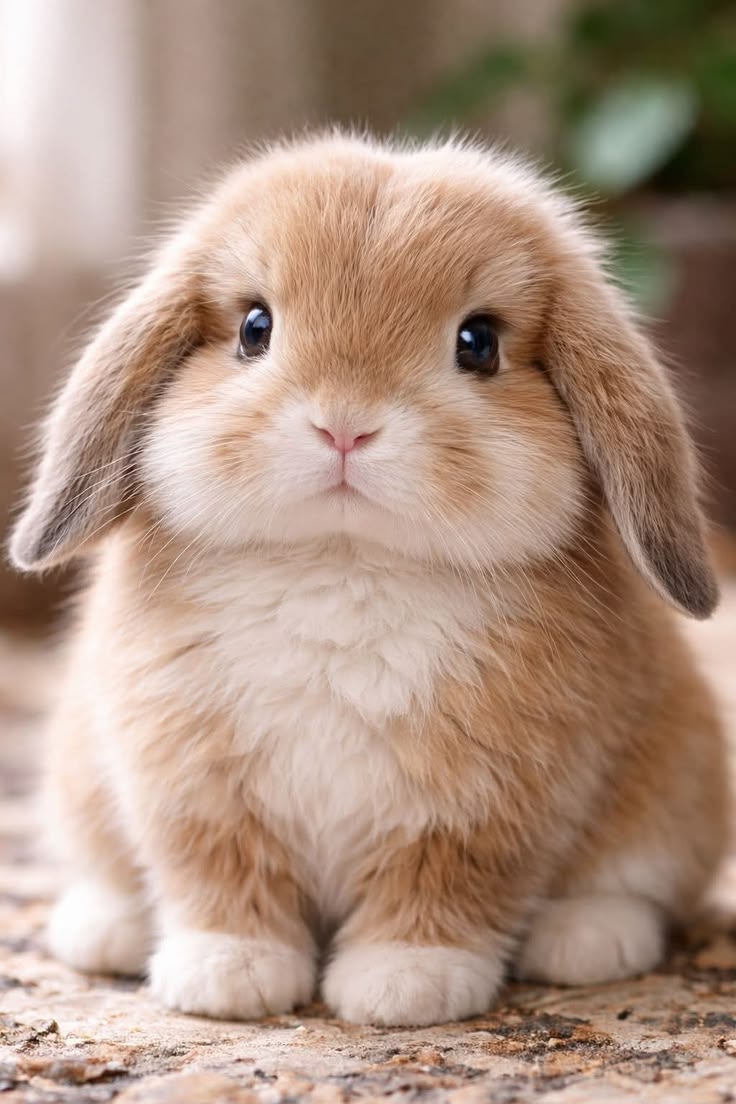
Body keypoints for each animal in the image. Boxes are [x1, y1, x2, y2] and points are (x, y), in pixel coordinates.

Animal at [9, 133, 728, 1027]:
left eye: (478, 342)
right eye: (255, 328)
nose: (344, 426)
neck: (343, 563)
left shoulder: (484, 806)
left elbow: (447, 883)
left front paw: (403, 985)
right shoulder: (190, 787)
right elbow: (216, 876)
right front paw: (227, 976)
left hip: (677, 785)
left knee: (632, 886)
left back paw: (589, 940)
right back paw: (103, 930)